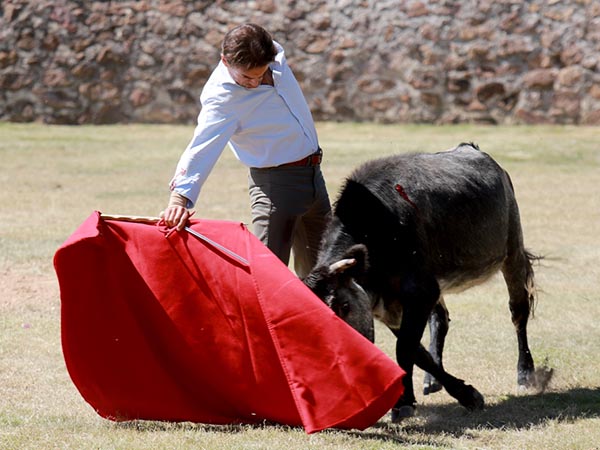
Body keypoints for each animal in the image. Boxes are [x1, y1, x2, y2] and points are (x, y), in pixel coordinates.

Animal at [304, 142, 540, 420]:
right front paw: (461, 393)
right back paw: (432, 379)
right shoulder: (391, 306)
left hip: (512, 252)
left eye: (343, 306)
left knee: (518, 312)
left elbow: (405, 349)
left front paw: (404, 402)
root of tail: (470, 147)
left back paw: (525, 373)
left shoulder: (419, 292)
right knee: (441, 319)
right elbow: (418, 353)